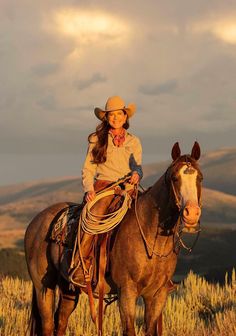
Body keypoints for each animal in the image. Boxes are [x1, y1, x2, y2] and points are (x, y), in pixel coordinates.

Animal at [24, 142, 203, 336]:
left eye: (200, 178)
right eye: (174, 178)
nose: (192, 213)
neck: (152, 240)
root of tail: (36, 221)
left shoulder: (158, 294)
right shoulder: (127, 292)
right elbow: (129, 330)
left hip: (67, 288)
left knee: (61, 320)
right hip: (43, 286)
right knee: (48, 324)